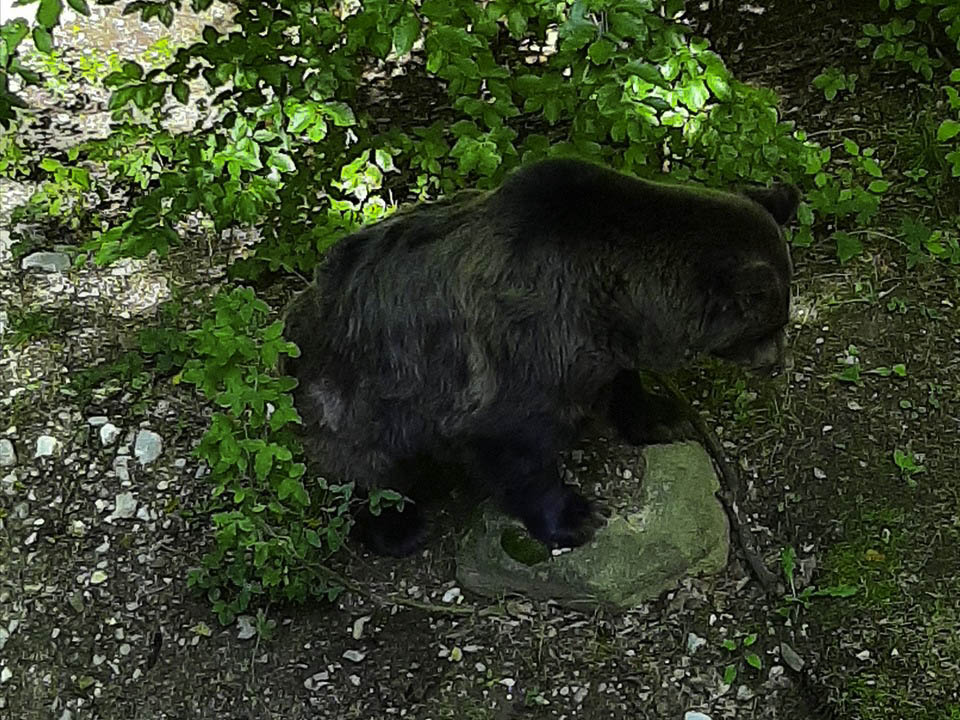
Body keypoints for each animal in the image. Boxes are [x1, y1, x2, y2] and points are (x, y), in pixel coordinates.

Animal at [282, 157, 799, 556]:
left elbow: (622, 382)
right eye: (772, 323)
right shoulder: (520, 354)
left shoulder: (599, 348)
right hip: (356, 395)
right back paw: (400, 528)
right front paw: (576, 515)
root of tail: (294, 322)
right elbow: (520, 447)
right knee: (365, 471)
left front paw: (660, 417)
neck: (613, 298)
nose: (776, 361)